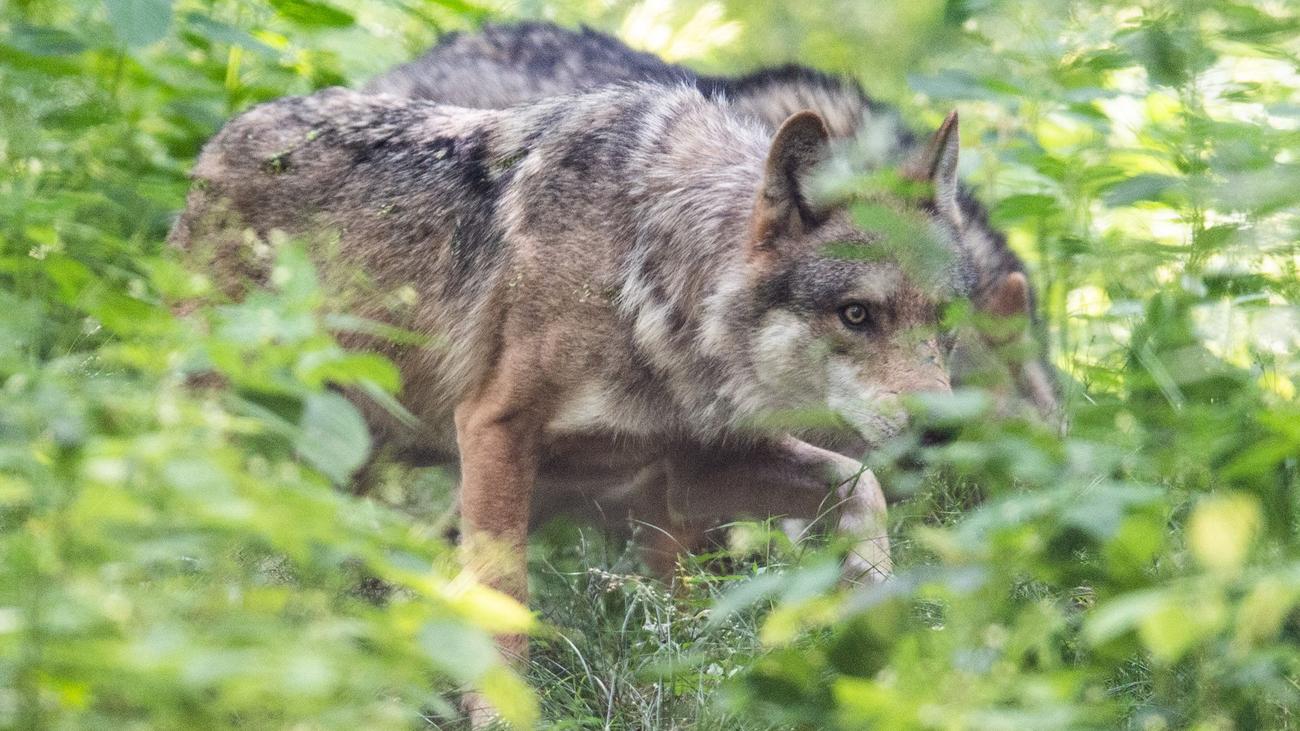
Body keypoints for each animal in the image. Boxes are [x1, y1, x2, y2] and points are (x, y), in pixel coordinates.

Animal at [171, 84, 971, 700]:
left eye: (941, 319)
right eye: (857, 314)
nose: (944, 430)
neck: (642, 272)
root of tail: (226, 135)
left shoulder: (684, 468)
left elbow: (861, 487)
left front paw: (887, 639)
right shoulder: (493, 429)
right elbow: (505, 611)